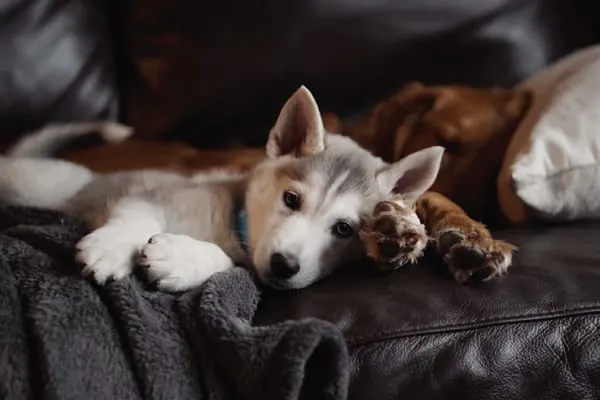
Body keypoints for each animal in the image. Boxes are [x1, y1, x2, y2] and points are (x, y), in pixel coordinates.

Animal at [0, 86, 440, 290]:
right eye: (291, 199)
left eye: (345, 229)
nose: (285, 265)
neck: (232, 224)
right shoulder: (153, 193)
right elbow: (137, 217)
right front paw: (112, 247)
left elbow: (231, 265)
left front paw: (181, 258)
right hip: (38, 183)